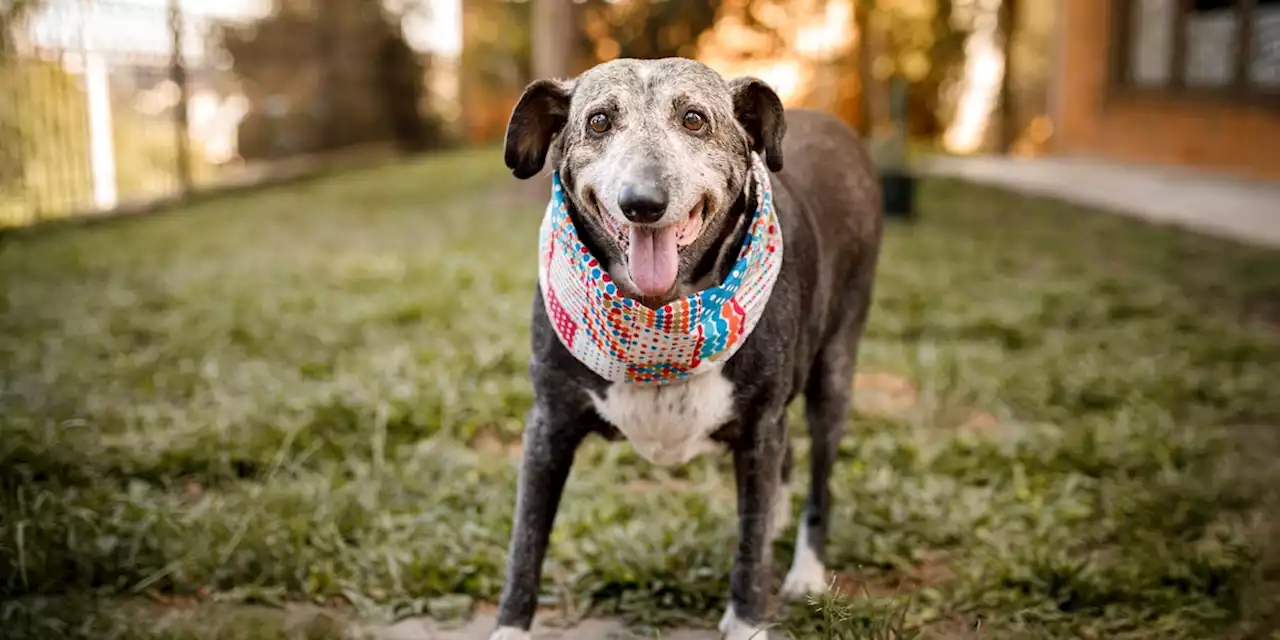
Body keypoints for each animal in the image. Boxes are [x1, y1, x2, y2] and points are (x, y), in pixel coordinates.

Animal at [486, 57, 880, 637]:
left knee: (819, 483)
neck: (658, 316)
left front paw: (747, 621)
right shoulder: (547, 426)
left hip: (834, 373)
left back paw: (806, 570)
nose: (642, 203)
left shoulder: (761, 429)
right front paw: (511, 626)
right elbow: (525, 544)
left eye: (694, 119)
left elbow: (750, 552)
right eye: (599, 121)